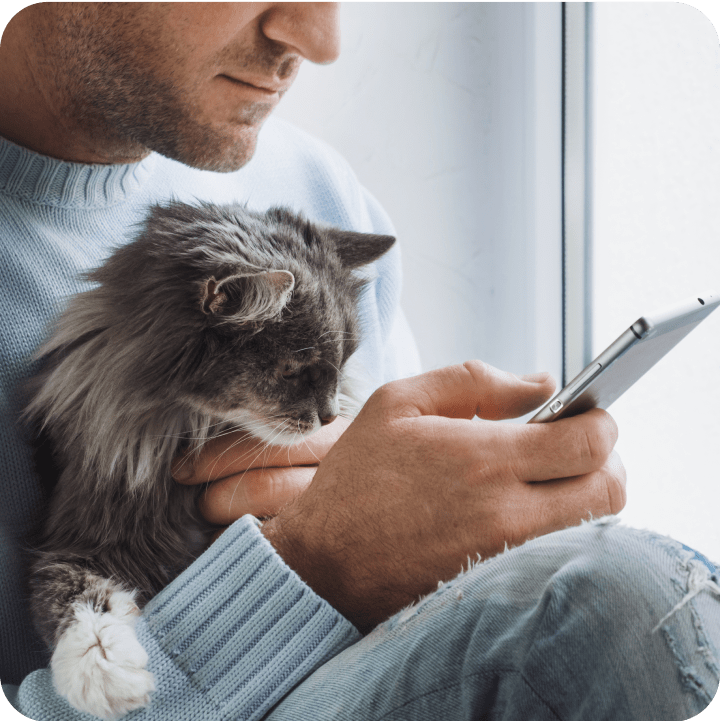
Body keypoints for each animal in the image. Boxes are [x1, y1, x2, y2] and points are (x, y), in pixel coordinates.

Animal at [25, 200, 394, 716]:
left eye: (343, 364)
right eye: (295, 372)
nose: (328, 417)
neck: (191, 427)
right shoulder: (76, 540)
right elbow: (73, 599)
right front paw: (106, 673)